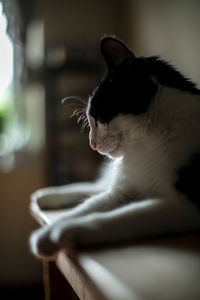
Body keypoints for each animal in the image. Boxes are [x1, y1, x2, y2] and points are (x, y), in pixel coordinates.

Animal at [29, 36, 200, 258]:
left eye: (96, 118)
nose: (92, 145)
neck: (144, 146)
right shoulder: (121, 193)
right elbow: (86, 207)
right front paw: (46, 233)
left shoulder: (184, 206)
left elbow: (122, 217)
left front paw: (67, 231)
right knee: (95, 188)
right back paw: (48, 195)